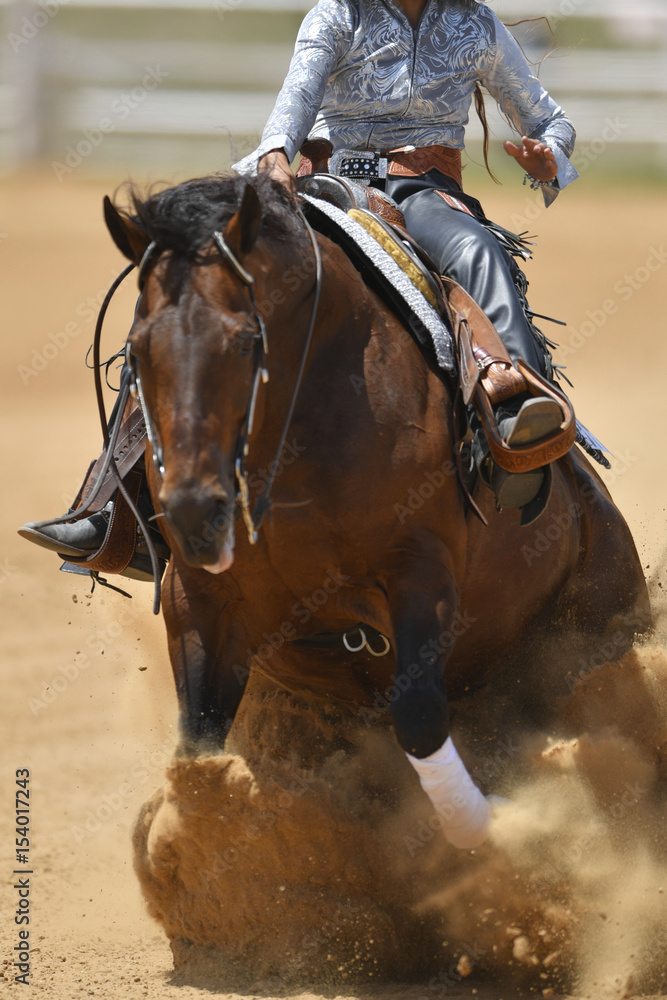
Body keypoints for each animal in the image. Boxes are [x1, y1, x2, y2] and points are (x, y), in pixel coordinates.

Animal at [104, 173, 650, 851]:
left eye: (247, 339)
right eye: (137, 347)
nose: (194, 512)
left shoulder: (419, 569)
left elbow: (417, 717)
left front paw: (495, 828)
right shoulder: (197, 598)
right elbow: (197, 754)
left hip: (605, 623)